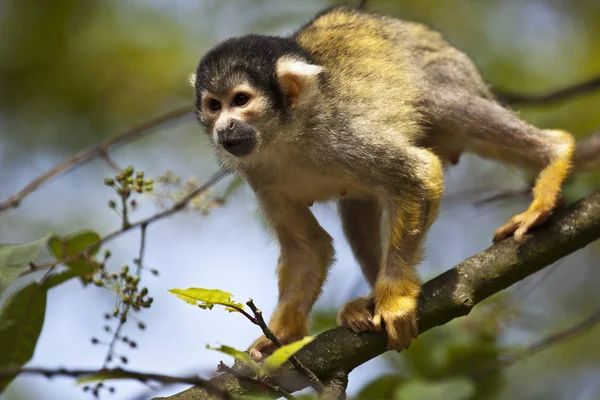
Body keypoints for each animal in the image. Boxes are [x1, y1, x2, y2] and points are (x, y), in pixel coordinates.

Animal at [192, 5, 576, 356]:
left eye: (241, 100)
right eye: (214, 106)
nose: (224, 127)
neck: (288, 134)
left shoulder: (341, 136)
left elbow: (419, 173)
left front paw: (394, 300)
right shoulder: (258, 172)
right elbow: (307, 248)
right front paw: (280, 337)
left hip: (450, 71)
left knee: (442, 102)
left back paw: (555, 153)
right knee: (356, 203)